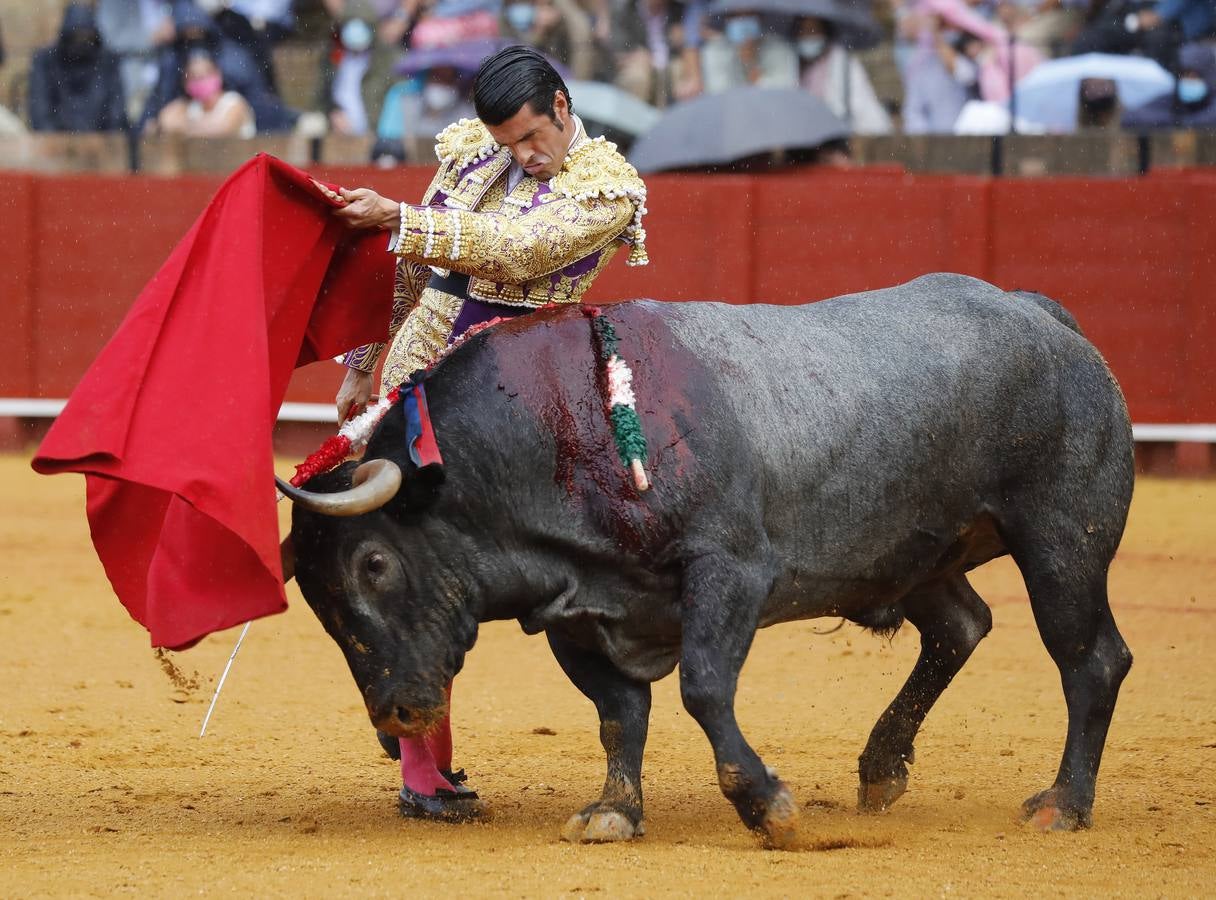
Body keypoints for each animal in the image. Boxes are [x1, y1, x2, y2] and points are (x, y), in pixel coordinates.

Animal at [279, 276, 1133, 851]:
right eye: (315, 600)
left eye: (374, 564)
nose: (396, 716)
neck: (564, 427)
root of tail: (1042, 315)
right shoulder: (575, 611)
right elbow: (619, 713)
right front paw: (614, 811)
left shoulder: (730, 570)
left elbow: (702, 686)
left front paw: (767, 806)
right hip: (918, 554)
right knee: (961, 626)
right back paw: (882, 769)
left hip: (1062, 542)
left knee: (1091, 658)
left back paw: (1063, 803)